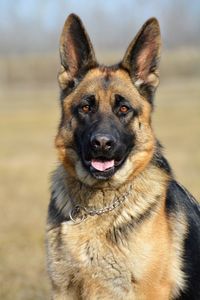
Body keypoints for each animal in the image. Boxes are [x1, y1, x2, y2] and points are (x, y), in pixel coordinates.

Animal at [47, 12, 200, 298]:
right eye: (85, 107)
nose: (102, 144)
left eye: (124, 109)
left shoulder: (149, 291)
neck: (98, 206)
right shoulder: (64, 289)